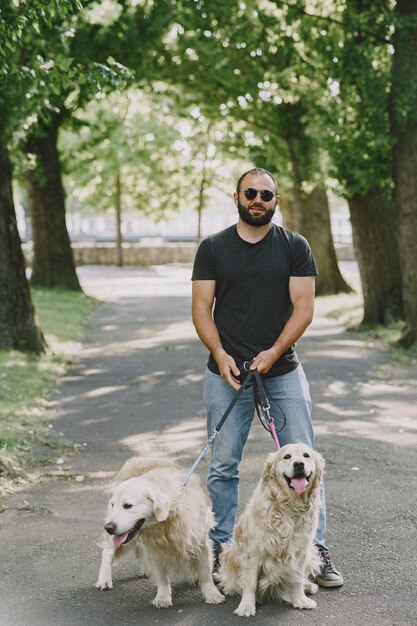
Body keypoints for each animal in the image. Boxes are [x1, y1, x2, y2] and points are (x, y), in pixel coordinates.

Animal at [95, 456, 224, 608]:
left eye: (128, 506)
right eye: (113, 505)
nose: (108, 528)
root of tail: (136, 459)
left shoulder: (200, 540)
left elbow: (205, 572)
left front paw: (212, 594)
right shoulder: (154, 548)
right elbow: (162, 577)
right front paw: (162, 597)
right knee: (108, 551)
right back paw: (104, 580)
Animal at [218, 442, 324, 616]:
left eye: (306, 455)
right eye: (287, 456)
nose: (298, 464)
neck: (290, 507)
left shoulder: (301, 550)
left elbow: (298, 577)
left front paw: (300, 599)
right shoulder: (254, 551)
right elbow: (250, 583)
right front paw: (246, 606)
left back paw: (307, 586)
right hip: (229, 555)